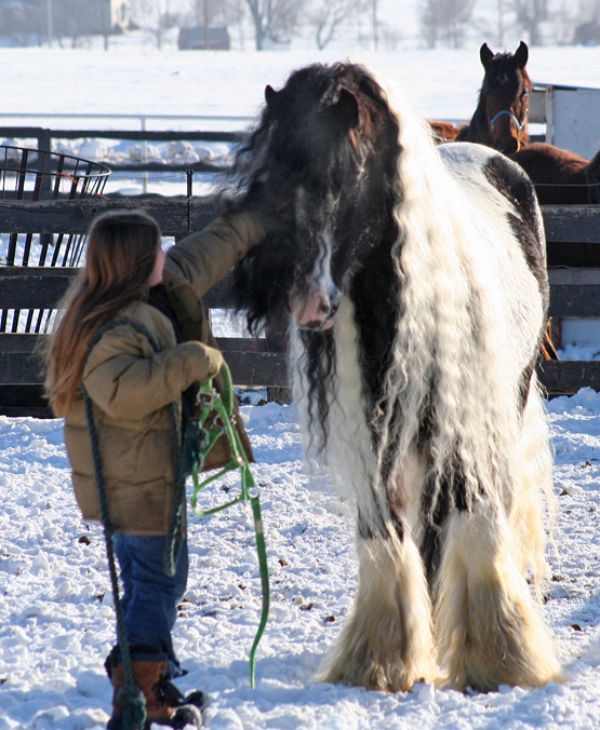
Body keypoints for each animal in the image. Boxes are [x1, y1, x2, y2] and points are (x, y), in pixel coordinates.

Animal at [232, 61, 560, 688]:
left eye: (352, 167)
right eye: (272, 171)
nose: (307, 301)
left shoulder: (464, 435)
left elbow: (474, 524)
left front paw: (500, 658)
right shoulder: (371, 440)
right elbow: (383, 536)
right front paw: (382, 661)